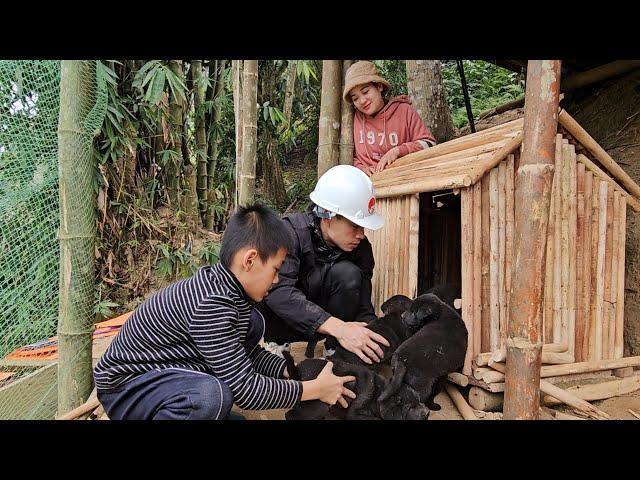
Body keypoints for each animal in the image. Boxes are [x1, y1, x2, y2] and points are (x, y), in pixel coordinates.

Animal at [284, 352, 430, 420]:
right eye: (410, 408)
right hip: (318, 404)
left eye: (419, 401)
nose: (427, 412)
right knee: (290, 415)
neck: (379, 393)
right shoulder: (354, 414)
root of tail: (297, 372)